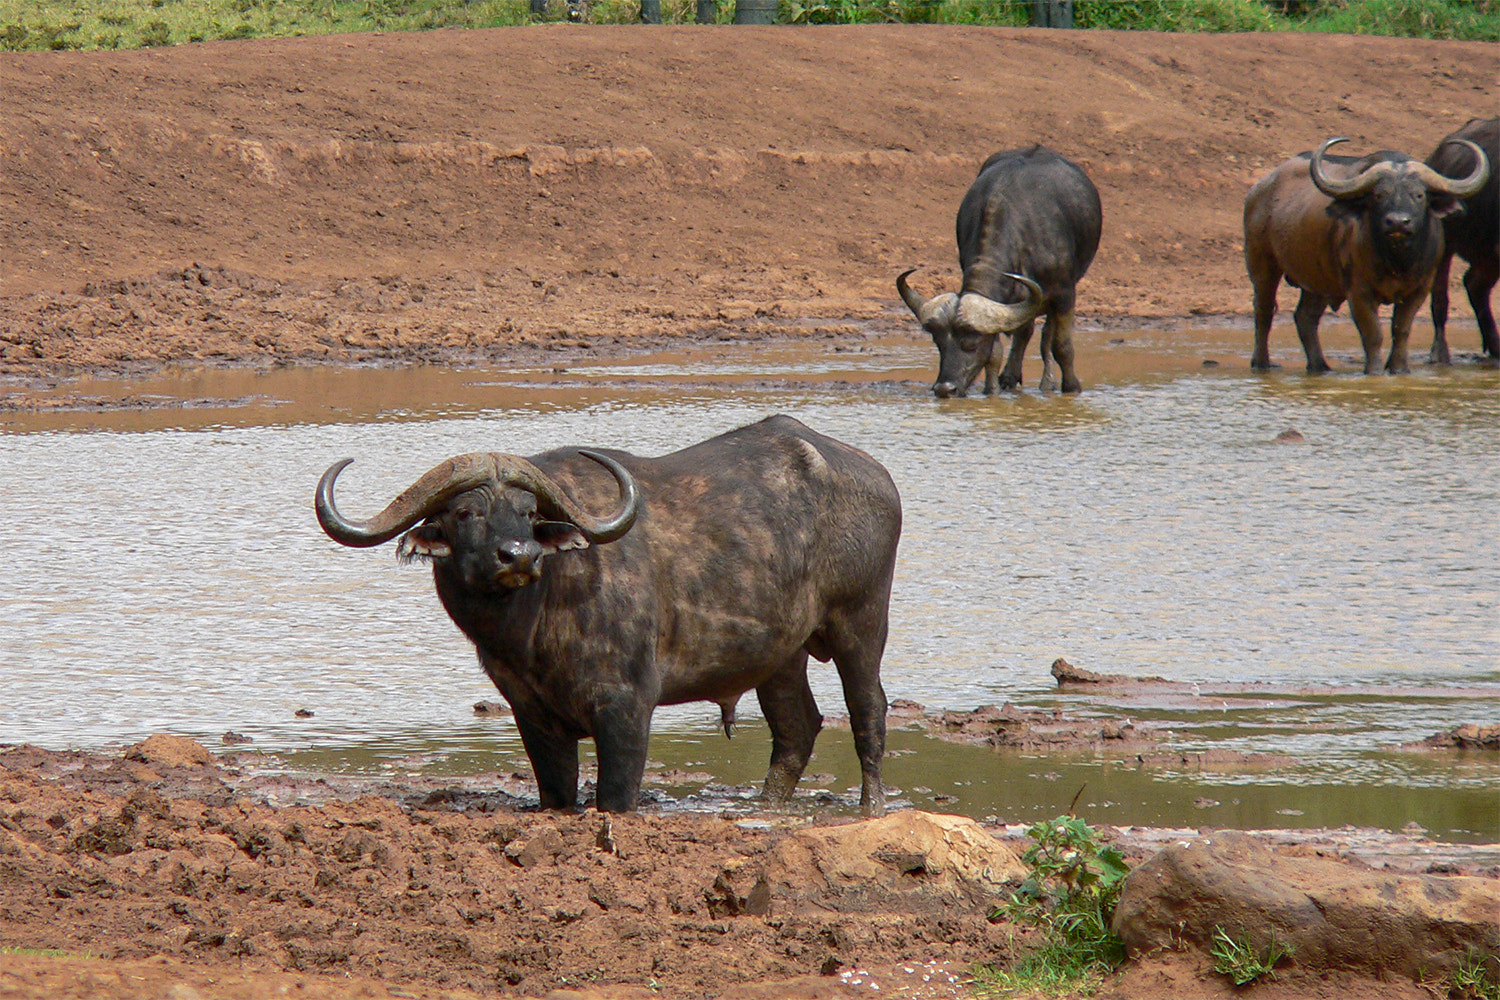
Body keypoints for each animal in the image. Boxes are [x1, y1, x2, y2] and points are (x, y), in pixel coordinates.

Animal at [313, 413, 900, 815]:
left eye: (528, 512)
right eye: (465, 512)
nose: (519, 556)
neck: (535, 626)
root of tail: (875, 474)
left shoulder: (627, 708)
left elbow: (615, 794)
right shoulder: (533, 717)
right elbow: (557, 789)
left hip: (862, 622)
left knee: (868, 709)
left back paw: (871, 805)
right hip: (781, 655)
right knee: (797, 727)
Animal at [894, 146, 1110, 395]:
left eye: (971, 342)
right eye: (938, 342)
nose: (945, 388)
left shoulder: (1065, 294)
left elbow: (1061, 345)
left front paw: (1071, 387)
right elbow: (995, 352)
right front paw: (992, 390)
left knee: (1046, 333)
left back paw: (1047, 383)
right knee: (1025, 331)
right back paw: (1010, 377)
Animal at [1242, 131, 1488, 370]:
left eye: (1419, 195)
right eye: (1379, 195)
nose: (1398, 223)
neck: (1397, 260)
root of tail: (1259, 189)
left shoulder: (1419, 290)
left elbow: (1401, 330)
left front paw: (1399, 369)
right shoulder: (1359, 291)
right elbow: (1373, 334)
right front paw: (1374, 371)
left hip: (1318, 279)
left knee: (1305, 317)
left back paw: (1320, 366)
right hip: (1262, 263)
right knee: (1264, 311)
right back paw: (1262, 363)